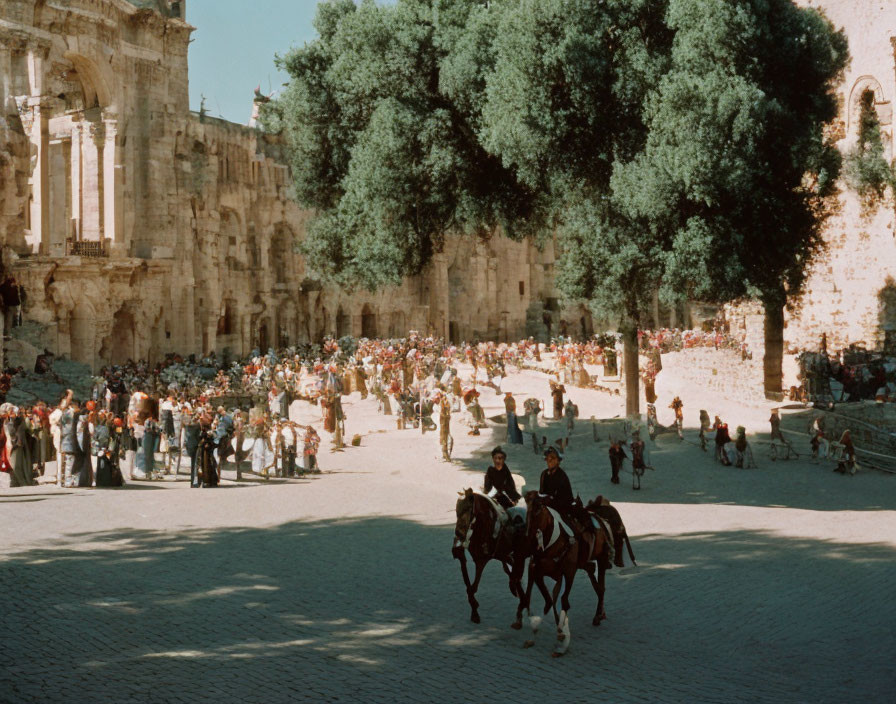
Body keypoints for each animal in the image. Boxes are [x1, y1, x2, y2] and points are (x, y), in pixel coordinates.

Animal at [452, 490, 520, 620]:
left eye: (468, 509)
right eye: (456, 510)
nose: (458, 534)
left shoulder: (482, 560)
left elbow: (473, 587)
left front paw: (475, 612)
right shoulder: (468, 557)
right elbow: (469, 585)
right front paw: (474, 608)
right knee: (509, 566)